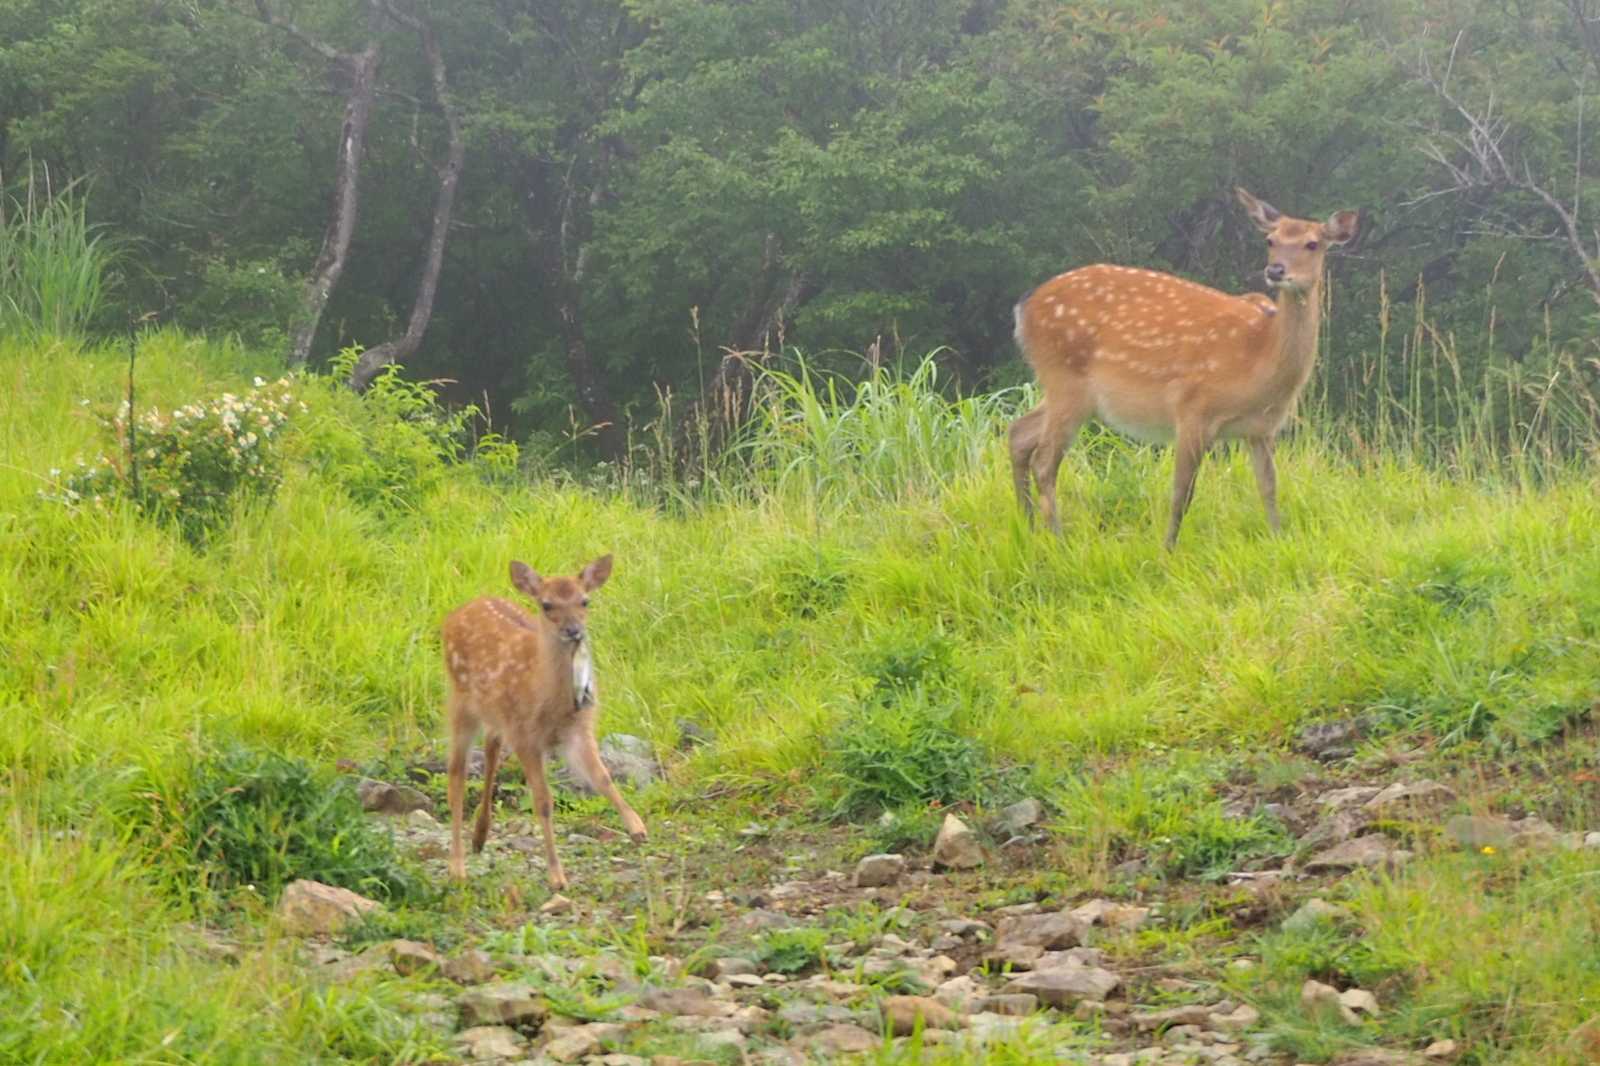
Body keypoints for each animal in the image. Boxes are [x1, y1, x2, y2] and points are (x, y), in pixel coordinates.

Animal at [440, 554, 646, 889]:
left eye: (585, 600)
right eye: (547, 605)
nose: (574, 631)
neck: (547, 698)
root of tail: (456, 613)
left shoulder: (578, 730)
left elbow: (603, 777)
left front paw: (637, 827)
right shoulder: (526, 737)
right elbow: (544, 802)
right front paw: (557, 876)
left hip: (495, 714)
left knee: (490, 749)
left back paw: (479, 837)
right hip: (461, 701)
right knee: (456, 772)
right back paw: (457, 867)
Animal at [1009, 187, 1360, 548]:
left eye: (1312, 244)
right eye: (1270, 240)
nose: (1275, 270)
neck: (1259, 359)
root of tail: (1023, 308)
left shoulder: (1261, 429)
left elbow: (1269, 488)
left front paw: (1278, 540)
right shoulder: (1193, 409)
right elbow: (1182, 492)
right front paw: (1168, 549)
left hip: (1066, 390)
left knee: (1019, 433)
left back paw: (1028, 526)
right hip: (1066, 379)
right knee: (1044, 460)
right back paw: (1057, 538)